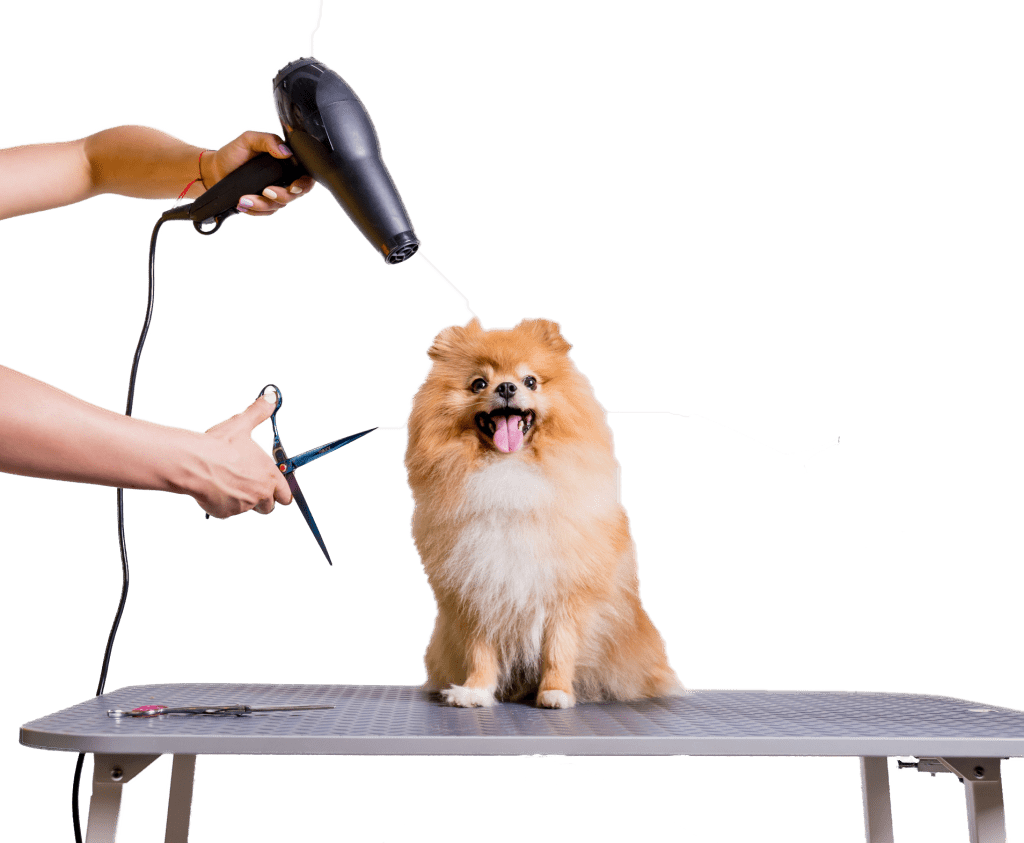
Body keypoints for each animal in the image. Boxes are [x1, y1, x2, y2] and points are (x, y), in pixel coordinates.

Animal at [403, 315, 684, 704]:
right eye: (479, 383)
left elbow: (558, 649)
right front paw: (475, 691)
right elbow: (480, 650)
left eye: (530, 381)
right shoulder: (477, 590)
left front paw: (555, 693)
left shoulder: (565, 592)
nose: (506, 387)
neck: (508, 470)